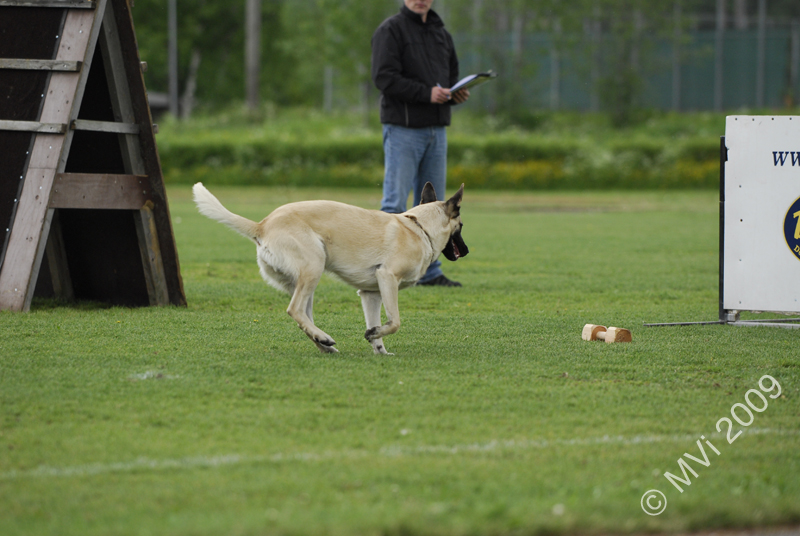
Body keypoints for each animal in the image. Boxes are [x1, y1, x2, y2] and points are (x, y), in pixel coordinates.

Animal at [194, 182, 468, 354]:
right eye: (462, 226)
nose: (466, 251)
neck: (418, 227)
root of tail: (262, 225)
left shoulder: (371, 293)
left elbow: (378, 325)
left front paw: (378, 345)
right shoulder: (387, 277)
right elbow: (395, 322)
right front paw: (376, 333)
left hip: (303, 283)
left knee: (303, 318)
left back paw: (322, 342)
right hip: (314, 266)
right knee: (294, 310)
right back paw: (323, 338)